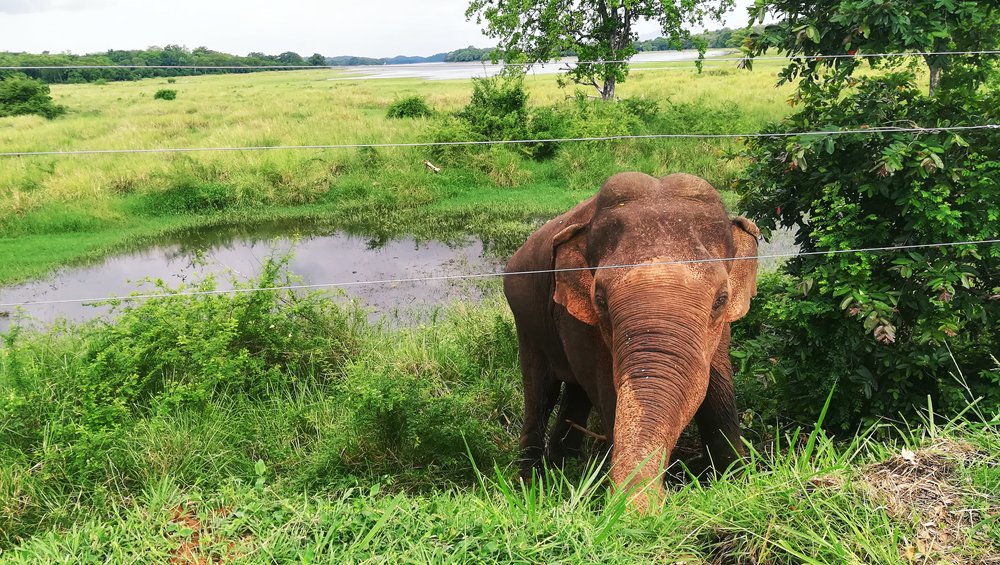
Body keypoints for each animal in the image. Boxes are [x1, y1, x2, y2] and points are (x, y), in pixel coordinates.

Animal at [504, 171, 760, 506]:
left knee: (575, 393)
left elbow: (718, 387)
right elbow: (608, 394)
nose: (655, 504)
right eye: (599, 299)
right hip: (526, 320)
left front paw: (737, 481)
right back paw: (531, 484)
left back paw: (563, 466)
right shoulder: (579, 322)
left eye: (721, 299)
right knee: (540, 392)